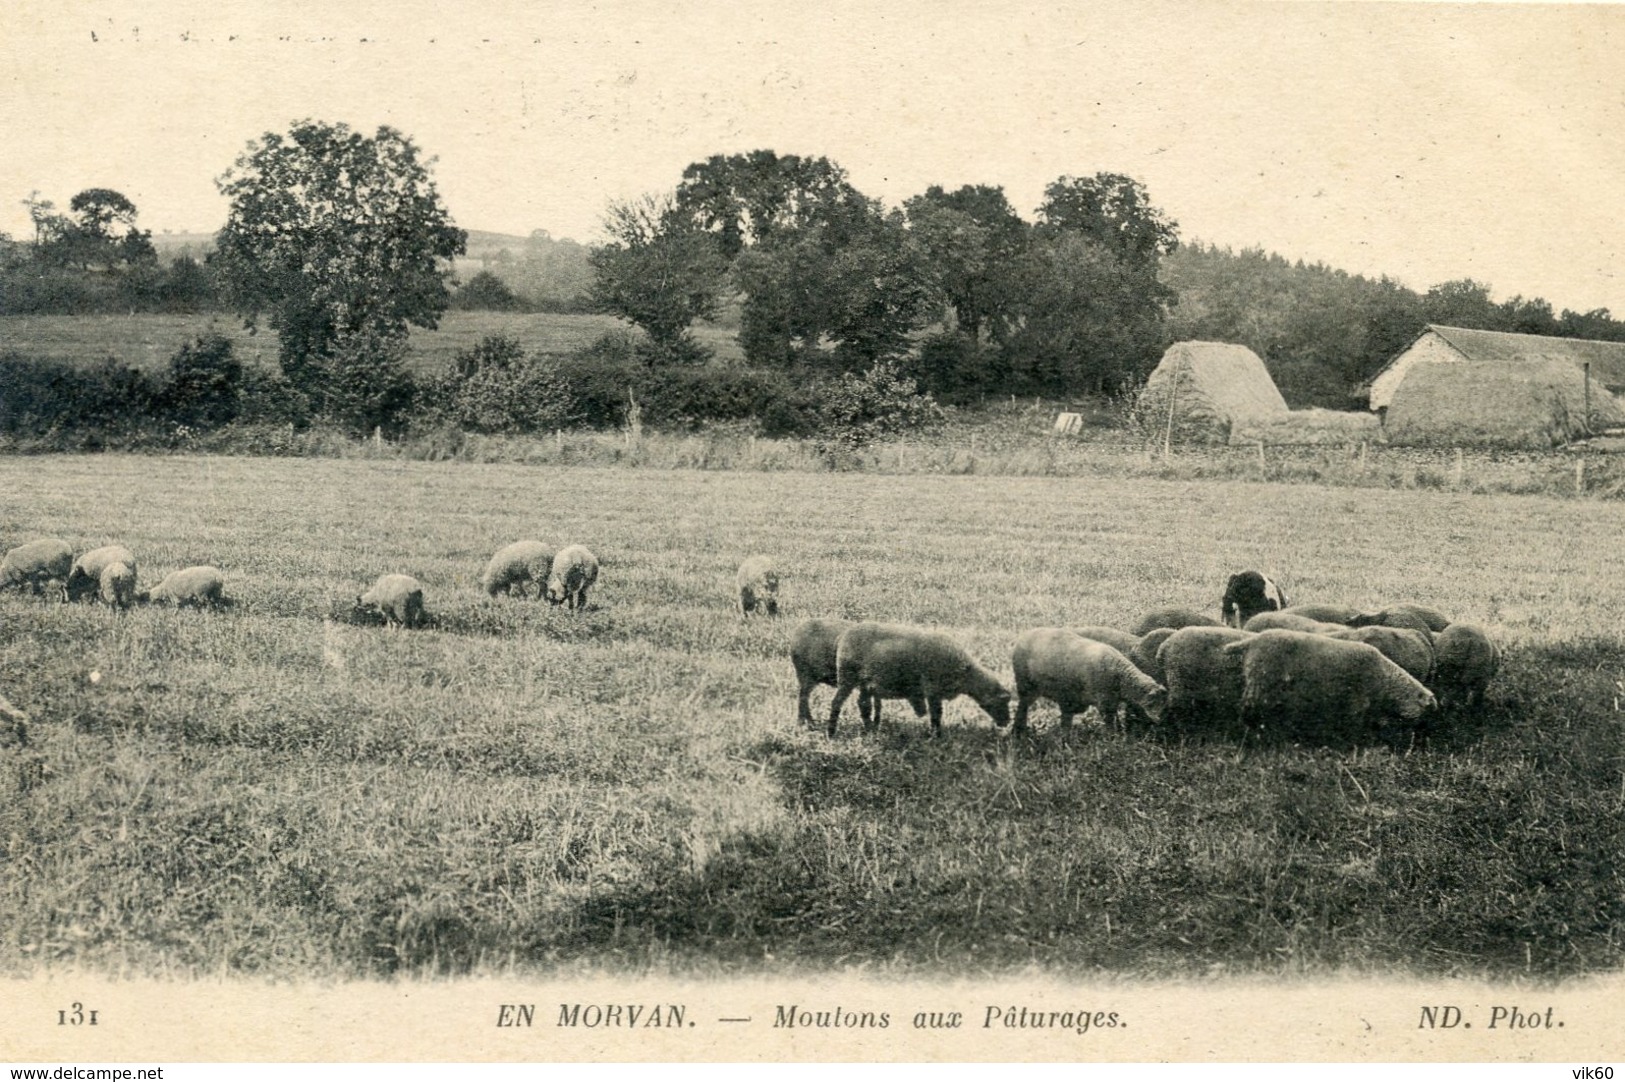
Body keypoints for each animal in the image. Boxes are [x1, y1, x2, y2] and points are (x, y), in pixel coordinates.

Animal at [832, 620, 1007, 737]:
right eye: (1002, 701)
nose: (1006, 722)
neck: (965, 672)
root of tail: (845, 636)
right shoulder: (932, 689)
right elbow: (936, 714)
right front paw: (936, 735)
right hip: (847, 677)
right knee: (837, 703)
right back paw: (831, 732)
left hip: (864, 683)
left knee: (863, 704)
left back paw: (870, 730)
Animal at [1007, 627, 1163, 727]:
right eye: (1151, 703)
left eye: (1162, 703)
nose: (1160, 720)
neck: (1120, 676)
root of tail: (1023, 636)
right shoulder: (1104, 703)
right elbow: (1111, 726)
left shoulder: (1109, 702)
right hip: (1025, 684)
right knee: (1023, 707)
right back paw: (1019, 731)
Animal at [1222, 627, 1443, 737]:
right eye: (1427, 710)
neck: (1385, 680)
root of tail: (1252, 642)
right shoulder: (1356, 703)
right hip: (1259, 682)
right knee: (1247, 708)